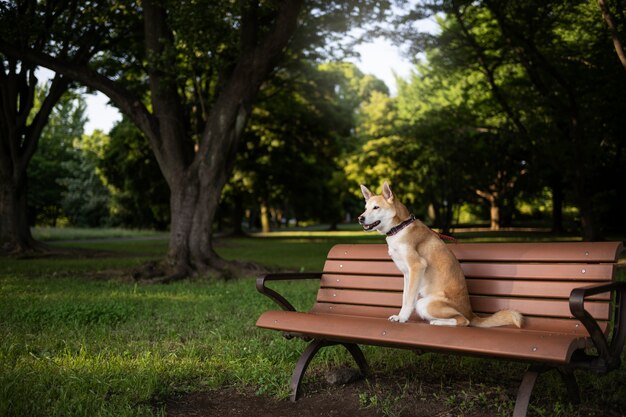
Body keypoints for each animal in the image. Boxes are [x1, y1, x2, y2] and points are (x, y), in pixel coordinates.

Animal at [356, 180, 520, 326]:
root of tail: (472, 314)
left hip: (424, 303)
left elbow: (409, 300)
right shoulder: (408, 274)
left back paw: (438, 322)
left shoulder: (417, 266)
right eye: (365, 208)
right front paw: (401, 315)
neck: (400, 227)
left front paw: (402, 318)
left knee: (463, 321)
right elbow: (405, 297)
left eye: (376, 207)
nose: (360, 218)